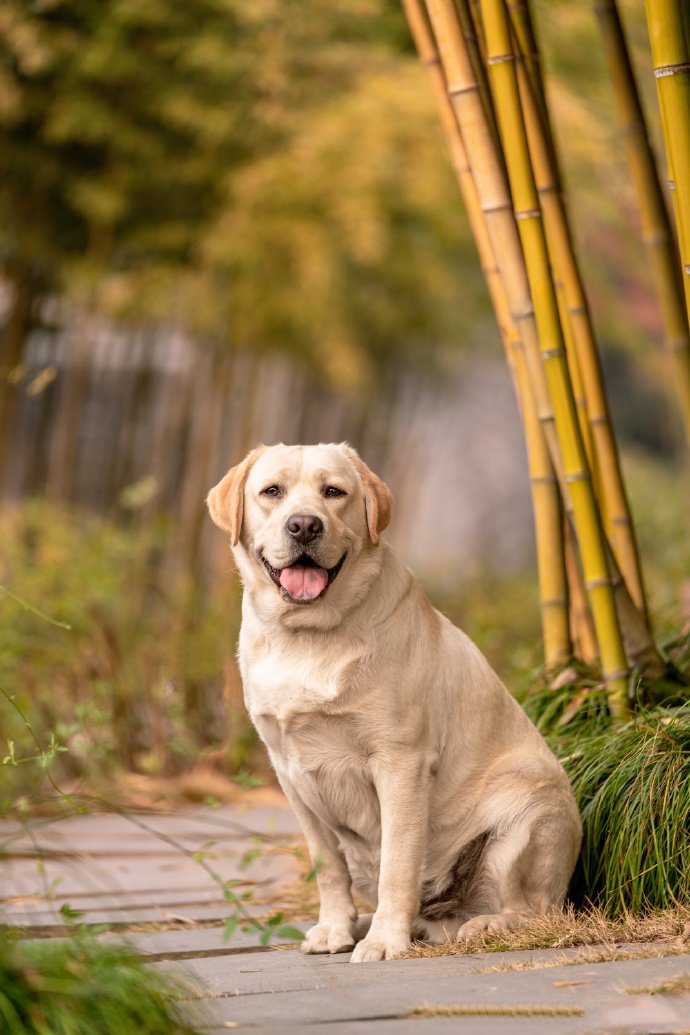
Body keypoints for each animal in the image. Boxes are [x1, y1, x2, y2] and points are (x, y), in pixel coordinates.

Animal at [206, 442, 583, 960]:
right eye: (272, 491)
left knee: (537, 911)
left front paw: (385, 940)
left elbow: (399, 865)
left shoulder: (400, 762)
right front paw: (335, 929)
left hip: (528, 807)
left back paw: (483, 924)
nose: (304, 525)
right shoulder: (289, 771)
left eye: (333, 492)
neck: (308, 635)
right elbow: (327, 866)